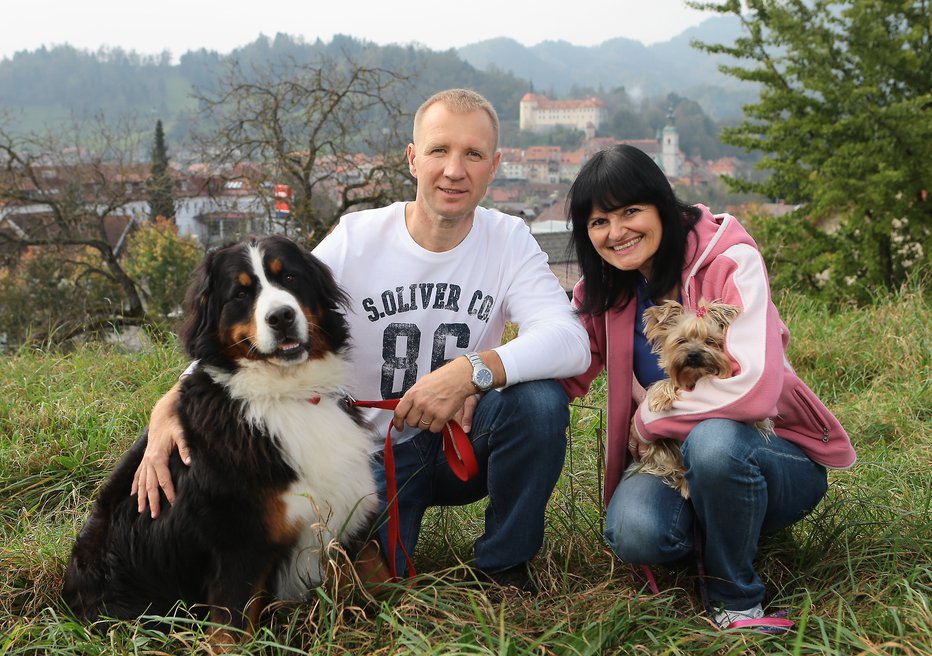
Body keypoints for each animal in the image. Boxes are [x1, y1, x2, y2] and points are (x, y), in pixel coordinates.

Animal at [63, 234, 380, 636]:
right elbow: (233, 632)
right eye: (241, 294)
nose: (281, 317)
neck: (285, 394)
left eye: (289, 277)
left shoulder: (348, 513)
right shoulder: (238, 550)